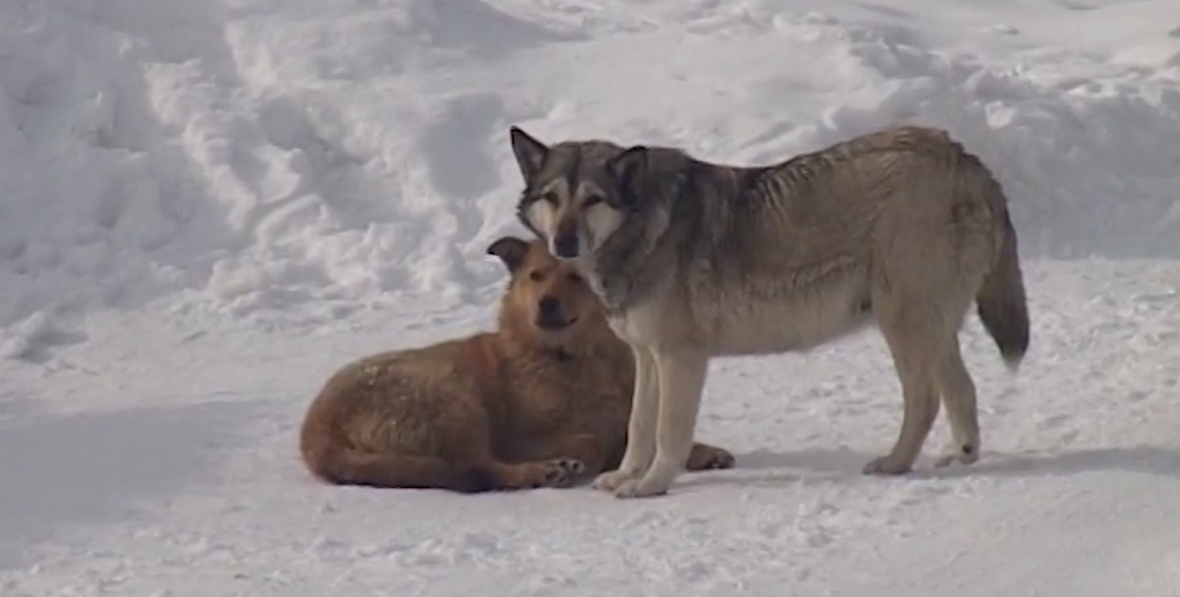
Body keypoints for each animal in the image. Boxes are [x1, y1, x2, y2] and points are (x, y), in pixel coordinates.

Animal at [299, 235, 731, 493]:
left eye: (576, 277)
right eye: (536, 276)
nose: (546, 303)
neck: (576, 359)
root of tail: (316, 430)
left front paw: (703, 452)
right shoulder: (516, 438)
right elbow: (591, 441)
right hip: (455, 400)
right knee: (477, 468)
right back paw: (540, 471)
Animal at [507, 123, 1033, 497]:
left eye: (593, 199)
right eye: (552, 198)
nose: (564, 242)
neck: (641, 228)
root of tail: (962, 155)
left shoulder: (681, 358)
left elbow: (668, 433)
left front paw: (652, 485)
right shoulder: (647, 356)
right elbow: (639, 426)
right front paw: (625, 477)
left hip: (902, 323)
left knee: (925, 401)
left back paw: (894, 464)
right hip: (928, 328)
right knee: (962, 390)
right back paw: (958, 455)